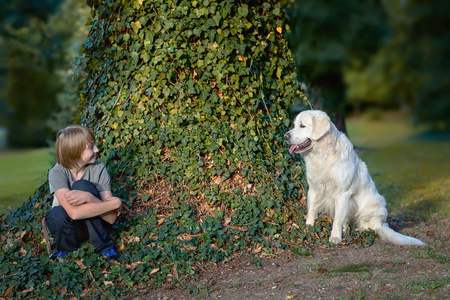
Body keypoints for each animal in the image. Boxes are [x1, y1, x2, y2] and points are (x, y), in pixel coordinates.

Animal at [284, 110, 426, 246]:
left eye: (302, 126)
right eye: (294, 125)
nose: (285, 136)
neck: (322, 155)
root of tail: (381, 223)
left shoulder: (342, 194)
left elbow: (337, 219)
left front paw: (335, 237)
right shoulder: (313, 188)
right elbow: (312, 209)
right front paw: (308, 228)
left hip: (374, 205)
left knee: (369, 227)